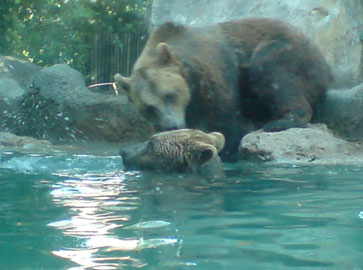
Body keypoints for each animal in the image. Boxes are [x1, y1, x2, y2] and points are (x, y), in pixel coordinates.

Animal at [114, 17, 332, 157]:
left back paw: (280, 121)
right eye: (148, 107)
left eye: (169, 94)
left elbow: (223, 119)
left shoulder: (212, 75)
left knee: (272, 72)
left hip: (287, 51)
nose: (171, 125)